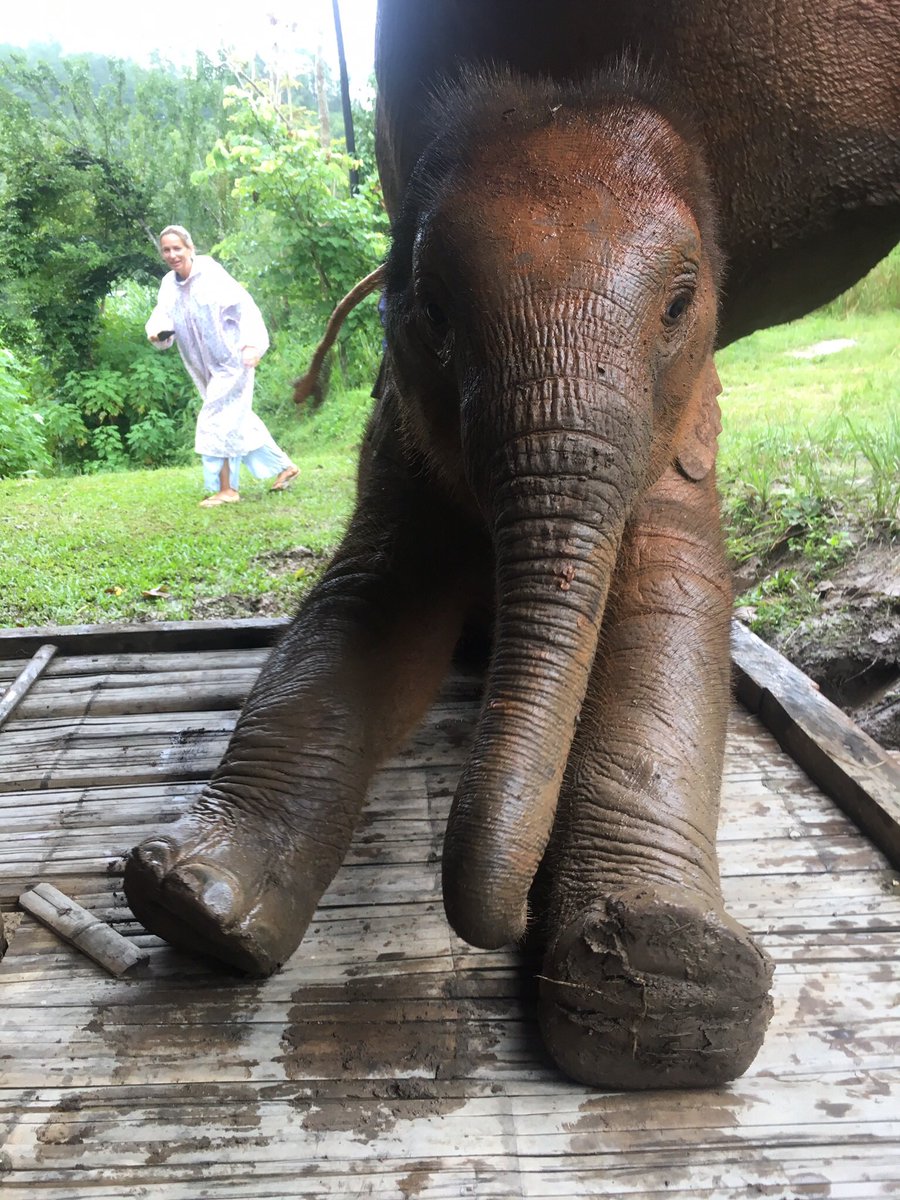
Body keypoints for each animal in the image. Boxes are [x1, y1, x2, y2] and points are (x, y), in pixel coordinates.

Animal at [124, 1, 900, 1089]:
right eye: (432, 308)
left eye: (679, 304)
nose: (507, 922)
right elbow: (370, 603)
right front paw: (195, 905)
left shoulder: (681, 423)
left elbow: (668, 604)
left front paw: (661, 995)